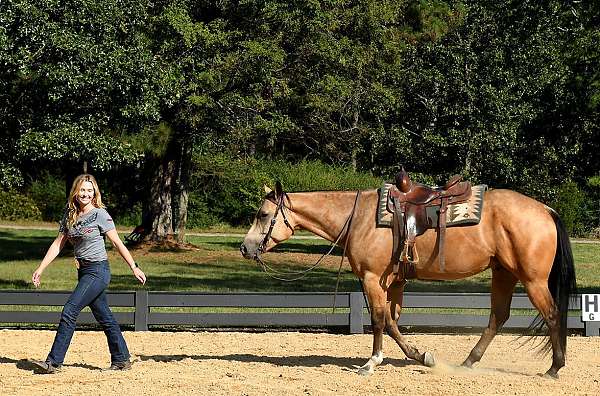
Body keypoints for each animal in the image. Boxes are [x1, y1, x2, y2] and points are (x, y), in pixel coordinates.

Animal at [239, 179, 576, 378]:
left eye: (263, 215)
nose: (245, 247)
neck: (359, 218)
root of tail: (545, 209)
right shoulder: (394, 282)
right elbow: (392, 322)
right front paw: (421, 356)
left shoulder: (372, 279)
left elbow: (378, 320)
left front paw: (371, 363)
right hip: (503, 273)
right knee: (498, 316)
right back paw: (469, 362)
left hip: (532, 280)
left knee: (551, 314)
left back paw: (554, 367)